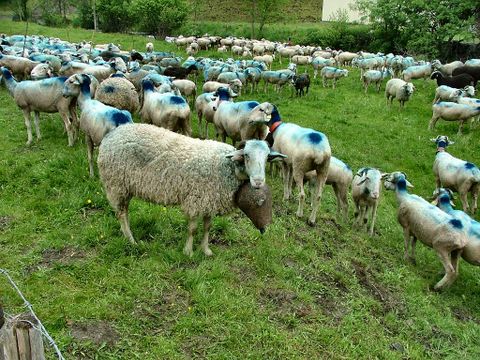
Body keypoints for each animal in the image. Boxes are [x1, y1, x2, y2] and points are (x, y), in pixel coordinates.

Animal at [97, 124, 284, 256]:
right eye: (246, 155)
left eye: (267, 158)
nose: (258, 182)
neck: (225, 165)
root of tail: (110, 135)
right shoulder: (196, 199)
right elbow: (193, 229)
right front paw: (188, 252)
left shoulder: (209, 199)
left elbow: (208, 227)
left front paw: (206, 250)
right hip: (116, 184)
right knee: (121, 213)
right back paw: (131, 240)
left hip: (125, 186)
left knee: (124, 211)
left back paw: (127, 235)